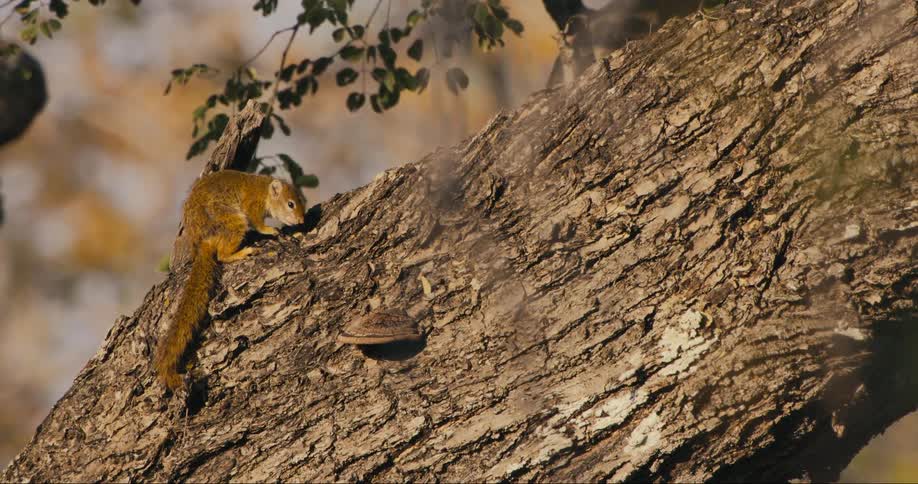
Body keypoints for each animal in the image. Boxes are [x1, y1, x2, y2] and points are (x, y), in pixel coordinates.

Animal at [155, 170, 306, 390]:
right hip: (233, 221)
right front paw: (270, 230)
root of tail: (204, 240)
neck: (264, 190)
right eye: (291, 204)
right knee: (223, 255)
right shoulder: (252, 204)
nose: (301, 220)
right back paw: (241, 252)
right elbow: (257, 223)